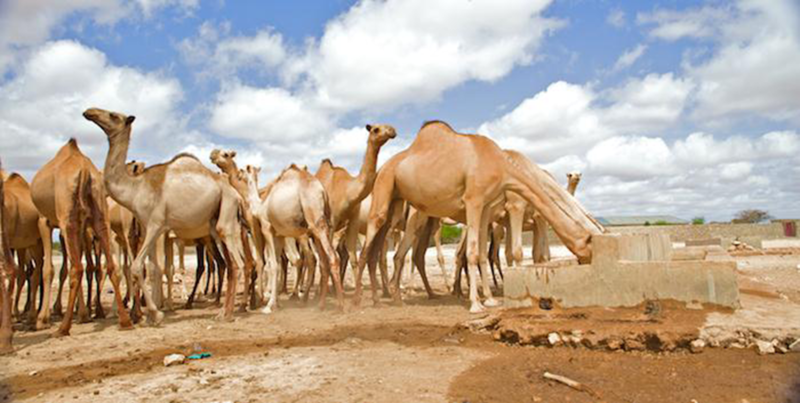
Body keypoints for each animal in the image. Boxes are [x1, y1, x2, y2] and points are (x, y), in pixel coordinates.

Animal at [30, 138, 131, 334]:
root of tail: (84, 170)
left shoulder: (44, 221)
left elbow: (50, 269)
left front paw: (43, 319)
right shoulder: (81, 226)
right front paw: (82, 313)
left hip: (67, 218)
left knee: (76, 268)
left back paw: (63, 328)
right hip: (98, 214)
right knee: (109, 266)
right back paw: (124, 321)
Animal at [83, 108, 247, 326]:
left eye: (113, 115)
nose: (89, 112)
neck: (136, 188)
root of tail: (236, 195)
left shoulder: (156, 224)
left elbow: (138, 267)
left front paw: (156, 313)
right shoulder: (148, 228)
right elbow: (152, 267)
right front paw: (150, 314)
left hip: (226, 215)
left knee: (237, 263)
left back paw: (227, 314)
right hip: (214, 225)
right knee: (229, 264)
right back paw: (222, 312)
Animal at [244, 164, 344, 312]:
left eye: (243, 173)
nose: (240, 176)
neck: (261, 205)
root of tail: (322, 191)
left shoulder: (267, 227)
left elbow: (273, 265)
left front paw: (269, 305)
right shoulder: (279, 235)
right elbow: (277, 263)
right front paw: (277, 303)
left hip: (315, 222)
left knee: (332, 257)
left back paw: (341, 305)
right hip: (319, 228)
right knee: (323, 262)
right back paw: (320, 305)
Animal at [316, 124, 396, 280]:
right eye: (375, 129)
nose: (392, 130)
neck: (347, 192)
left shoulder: (353, 222)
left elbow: (354, 260)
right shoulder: (332, 221)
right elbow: (331, 257)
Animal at [356, 120, 608, 312]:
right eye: (589, 243)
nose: (587, 260)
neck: (504, 165)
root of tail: (385, 166)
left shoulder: (487, 206)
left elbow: (486, 256)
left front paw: (491, 299)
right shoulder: (484, 202)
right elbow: (494, 253)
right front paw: (477, 304)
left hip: (401, 204)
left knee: (397, 252)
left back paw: (397, 298)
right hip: (387, 190)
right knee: (373, 244)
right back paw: (361, 300)